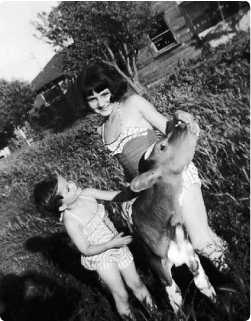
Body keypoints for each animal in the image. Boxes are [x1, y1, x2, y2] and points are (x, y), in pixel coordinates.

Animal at [129, 119, 216, 312]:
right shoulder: (159, 267)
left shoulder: (190, 252)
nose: (181, 124)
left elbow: (203, 283)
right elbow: (175, 297)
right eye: (162, 146)